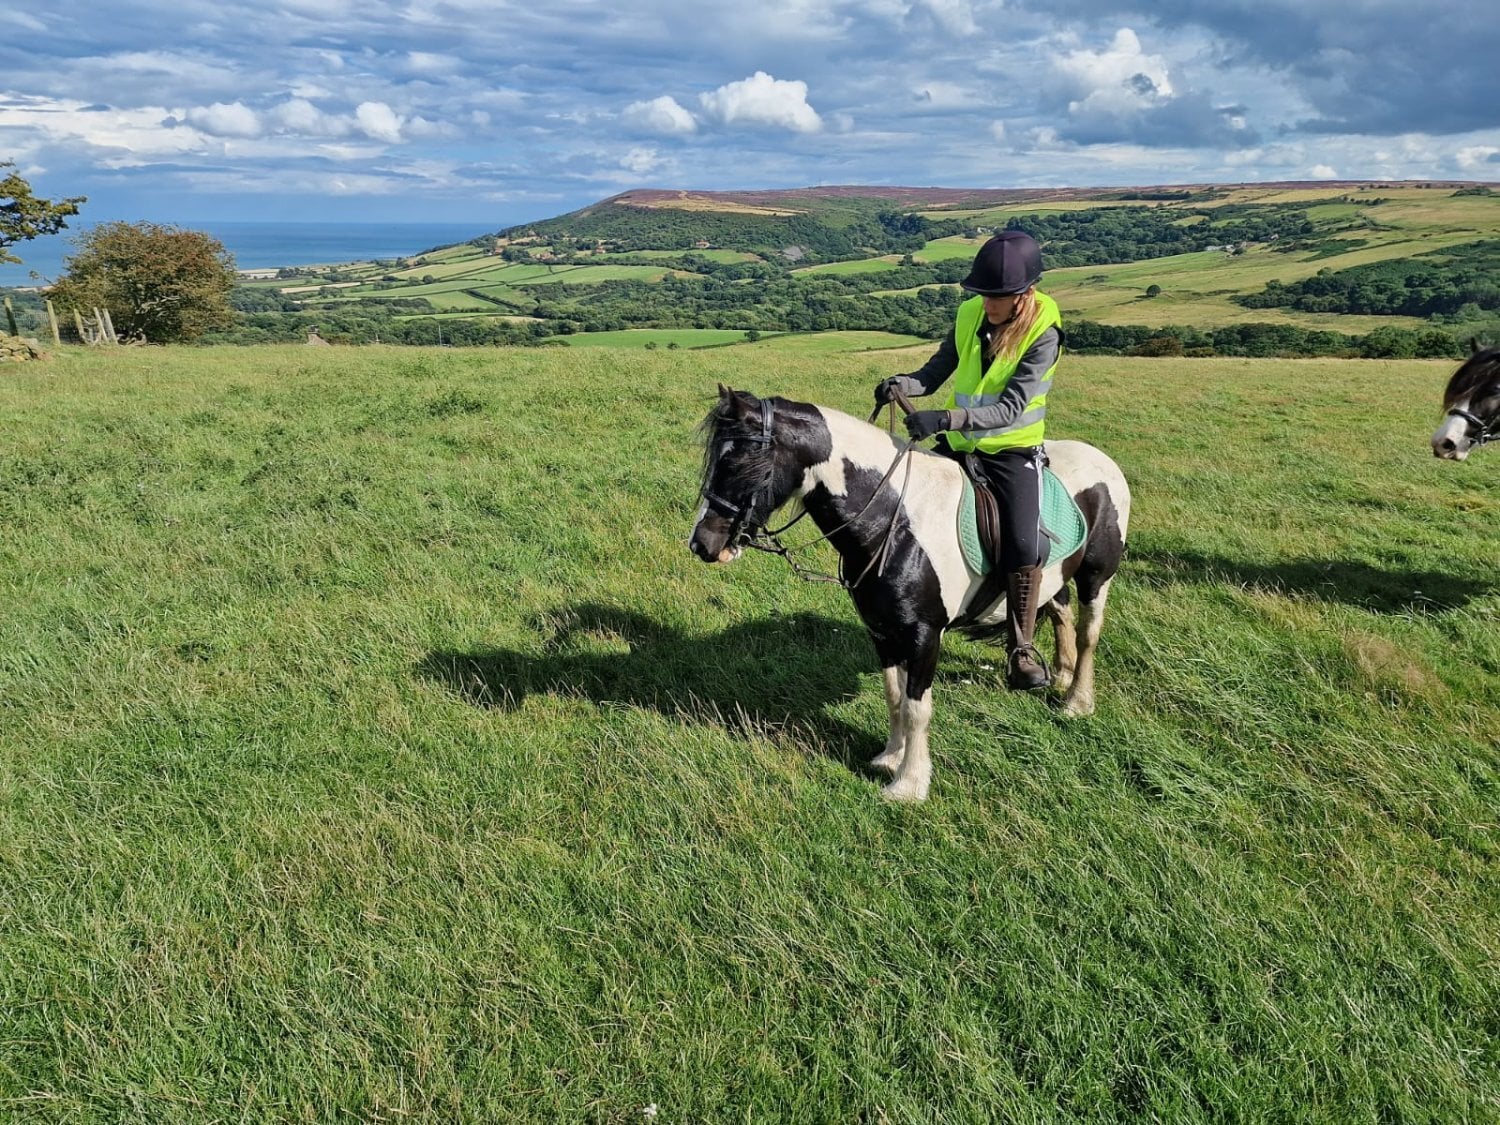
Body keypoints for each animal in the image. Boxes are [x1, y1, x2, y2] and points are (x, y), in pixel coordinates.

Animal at [689, 386, 1131, 802]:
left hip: (1096, 576)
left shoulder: (923, 634)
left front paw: (909, 784)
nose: (703, 544)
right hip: (1056, 578)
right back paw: (1059, 675)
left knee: (1088, 633)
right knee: (1059, 612)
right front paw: (889, 758)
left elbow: (918, 707)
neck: (895, 521)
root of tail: (1103, 460)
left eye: (738, 461)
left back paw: (1077, 701)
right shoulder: (882, 629)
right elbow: (894, 696)